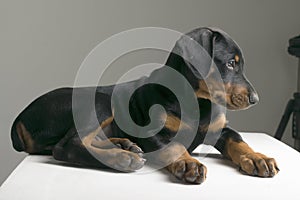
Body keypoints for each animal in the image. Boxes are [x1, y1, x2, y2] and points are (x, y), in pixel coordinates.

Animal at [11, 27, 278, 184]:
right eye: (230, 64)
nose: (255, 99)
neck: (199, 102)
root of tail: (19, 118)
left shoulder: (220, 129)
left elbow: (239, 141)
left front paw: (258, 158)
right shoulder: (153, 131)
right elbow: (173, 146)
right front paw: (188, 163)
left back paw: (125, 146)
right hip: (99, 100)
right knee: (66, 146)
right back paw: (122, 158)